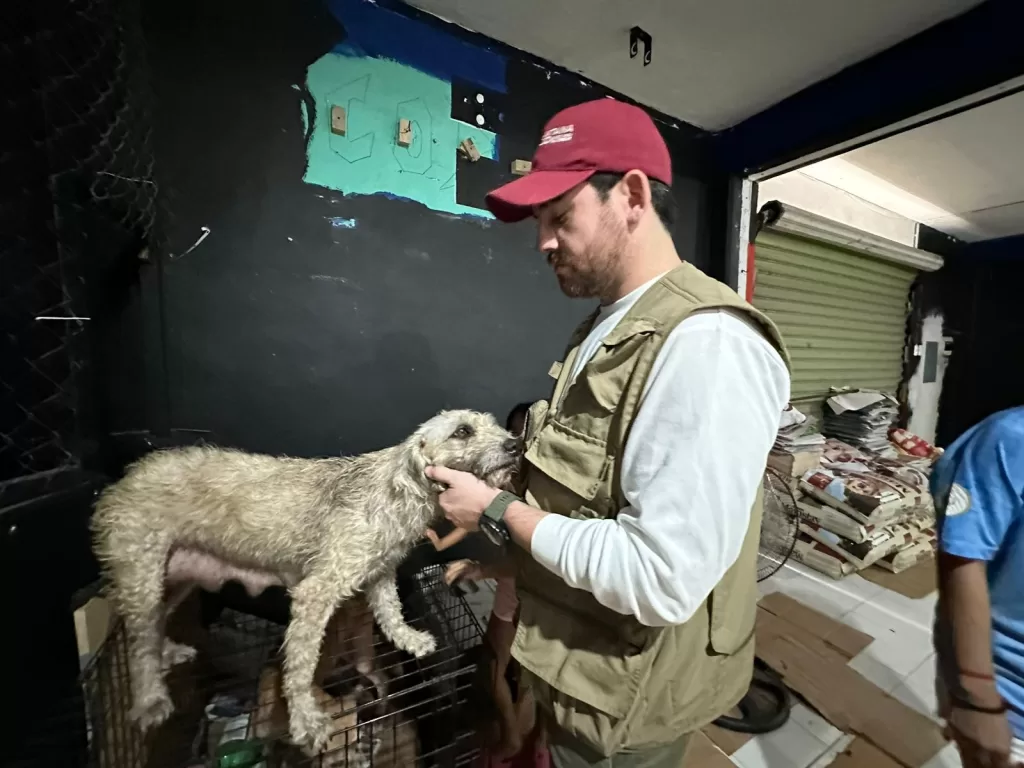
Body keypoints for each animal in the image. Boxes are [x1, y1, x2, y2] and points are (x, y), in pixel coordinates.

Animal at [90, 411, 520, 753]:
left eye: (493, 424)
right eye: (462, 431)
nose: (515, 444)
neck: (400, 488)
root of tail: (125, 477)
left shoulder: (380, 573)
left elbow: (390, 613)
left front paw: (409, 639)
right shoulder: (317, 592)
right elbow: (298, 667)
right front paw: (305, 721)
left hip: (173, 580)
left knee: (151, 628)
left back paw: (167, 653)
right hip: (142, 576)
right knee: (138, 643)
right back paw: (149, 698)